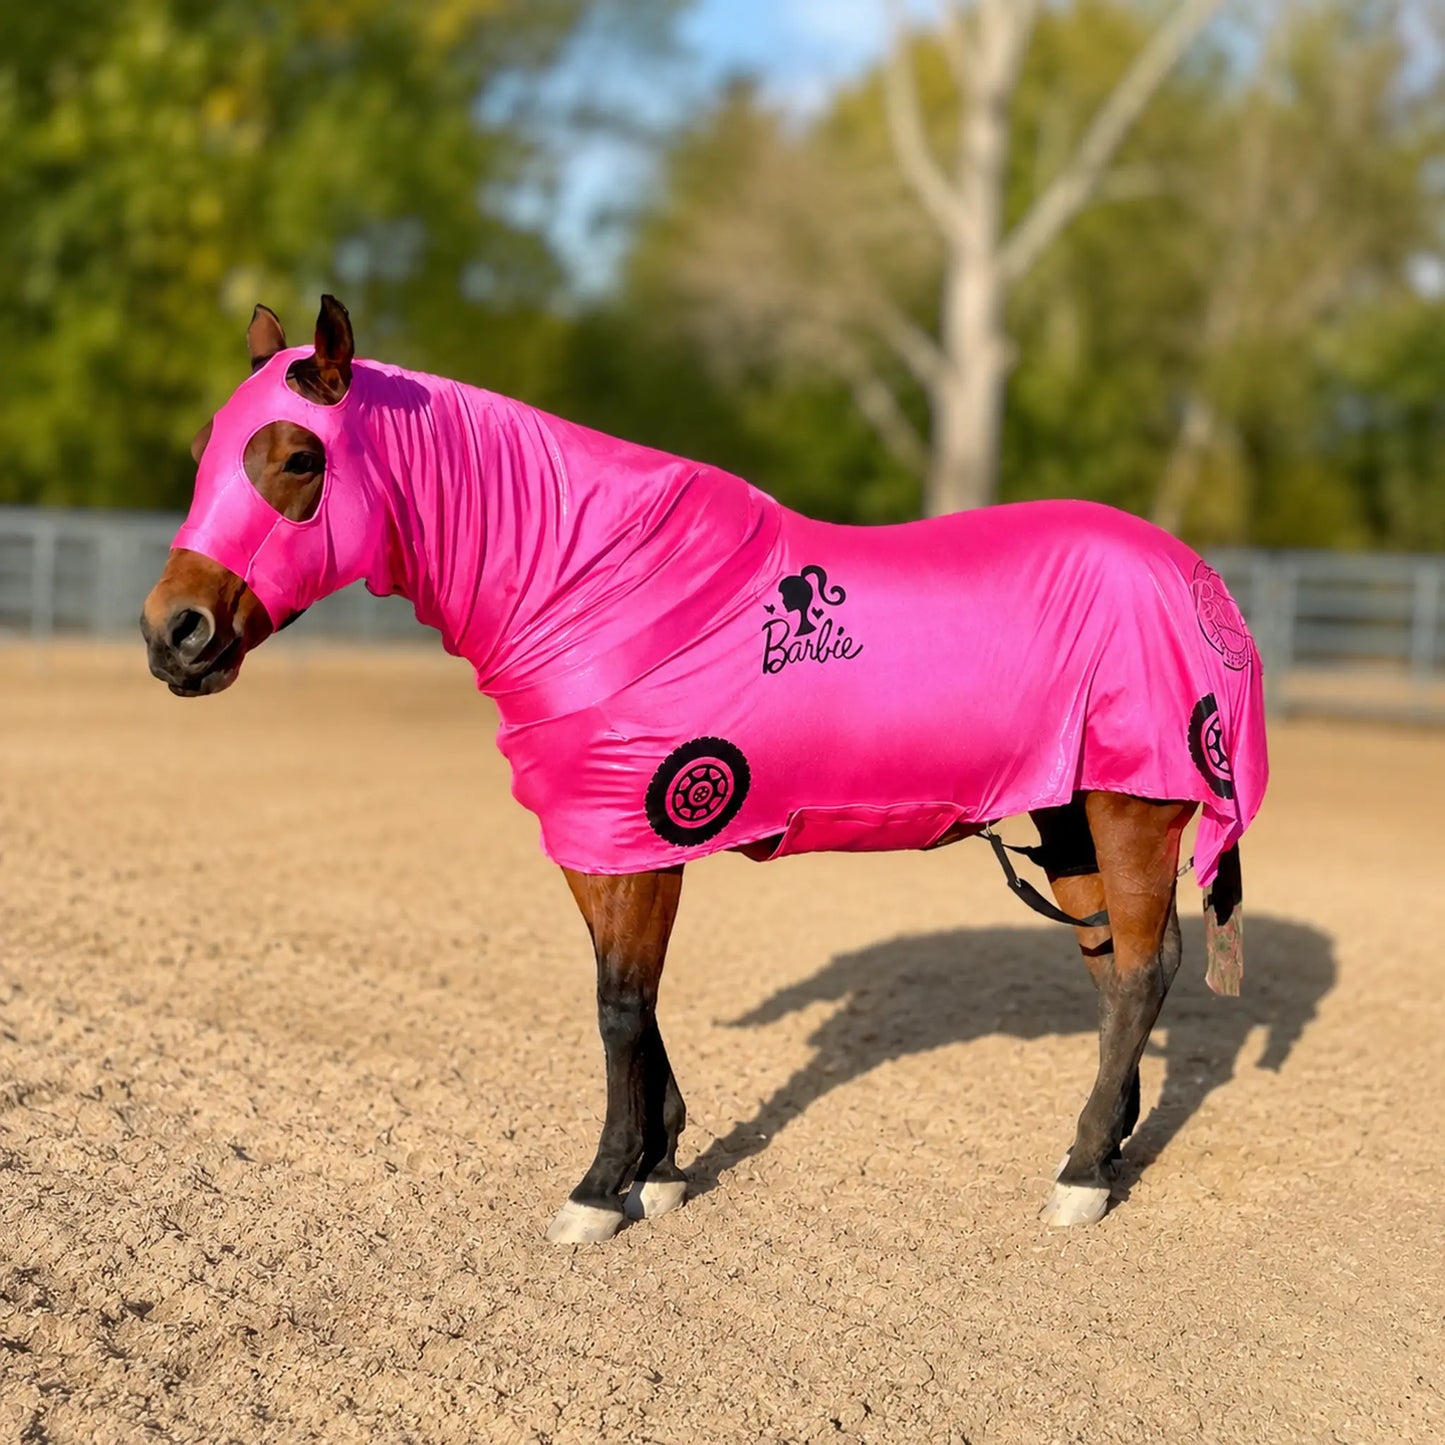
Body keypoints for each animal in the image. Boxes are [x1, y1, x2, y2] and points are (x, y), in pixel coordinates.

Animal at [141, 296, 1268, 1244]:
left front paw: (600, 1188)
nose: (172, 634)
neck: (598, 587)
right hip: (1069, 815)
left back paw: (1078, 1175)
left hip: (1132, 807)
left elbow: (618, 1005)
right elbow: (629, 998)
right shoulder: (597, 837)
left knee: (1140, 970)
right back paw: (1104, 1147)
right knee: (1111, 967)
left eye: (297, 458)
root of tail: (1198, 581)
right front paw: (662, 1163)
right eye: (202, 455)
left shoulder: (646, 829)